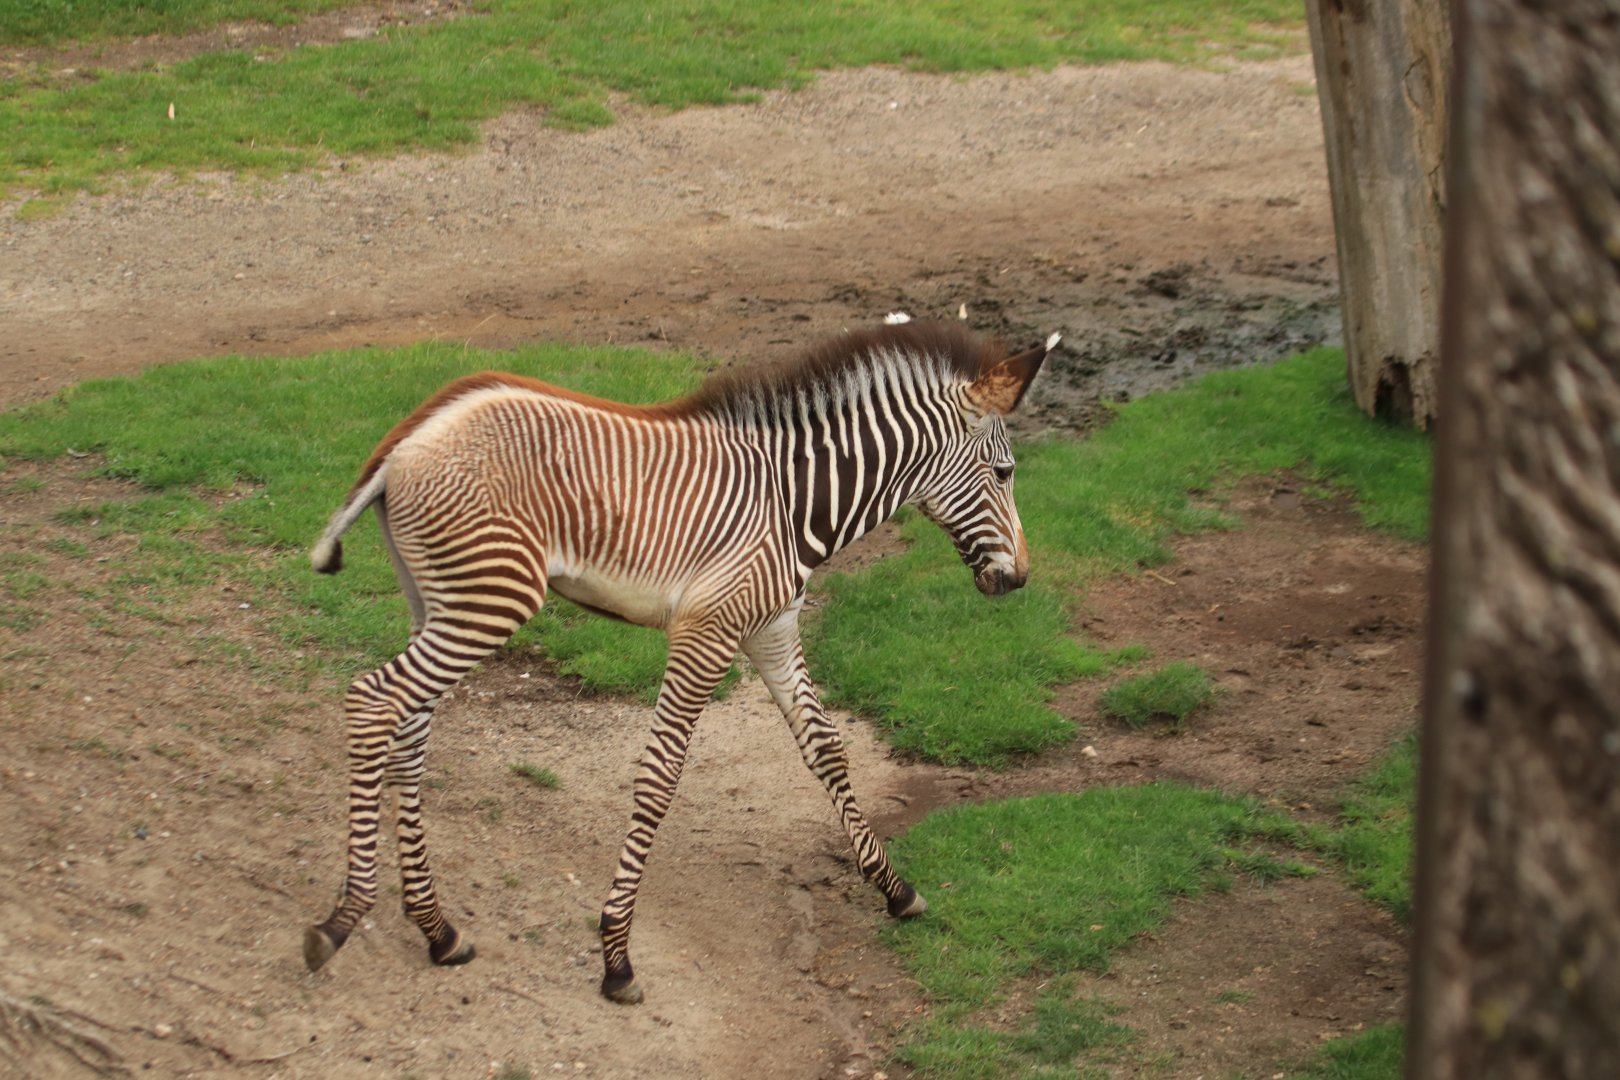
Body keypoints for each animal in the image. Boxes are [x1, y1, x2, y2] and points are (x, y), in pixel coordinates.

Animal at [302, 319, 1056, 1003]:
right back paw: (341, 920)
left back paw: (437, 930)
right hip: (491, 597)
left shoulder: (772, 628)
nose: (1020, 579)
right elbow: (660, 776)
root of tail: (409, 434)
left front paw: (895, 890)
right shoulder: (707, 631)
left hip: (440, 600)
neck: (793, 499)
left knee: (409, 730)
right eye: (1005, 472)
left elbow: (826, 750)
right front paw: (616, 956)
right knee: (374, 701)